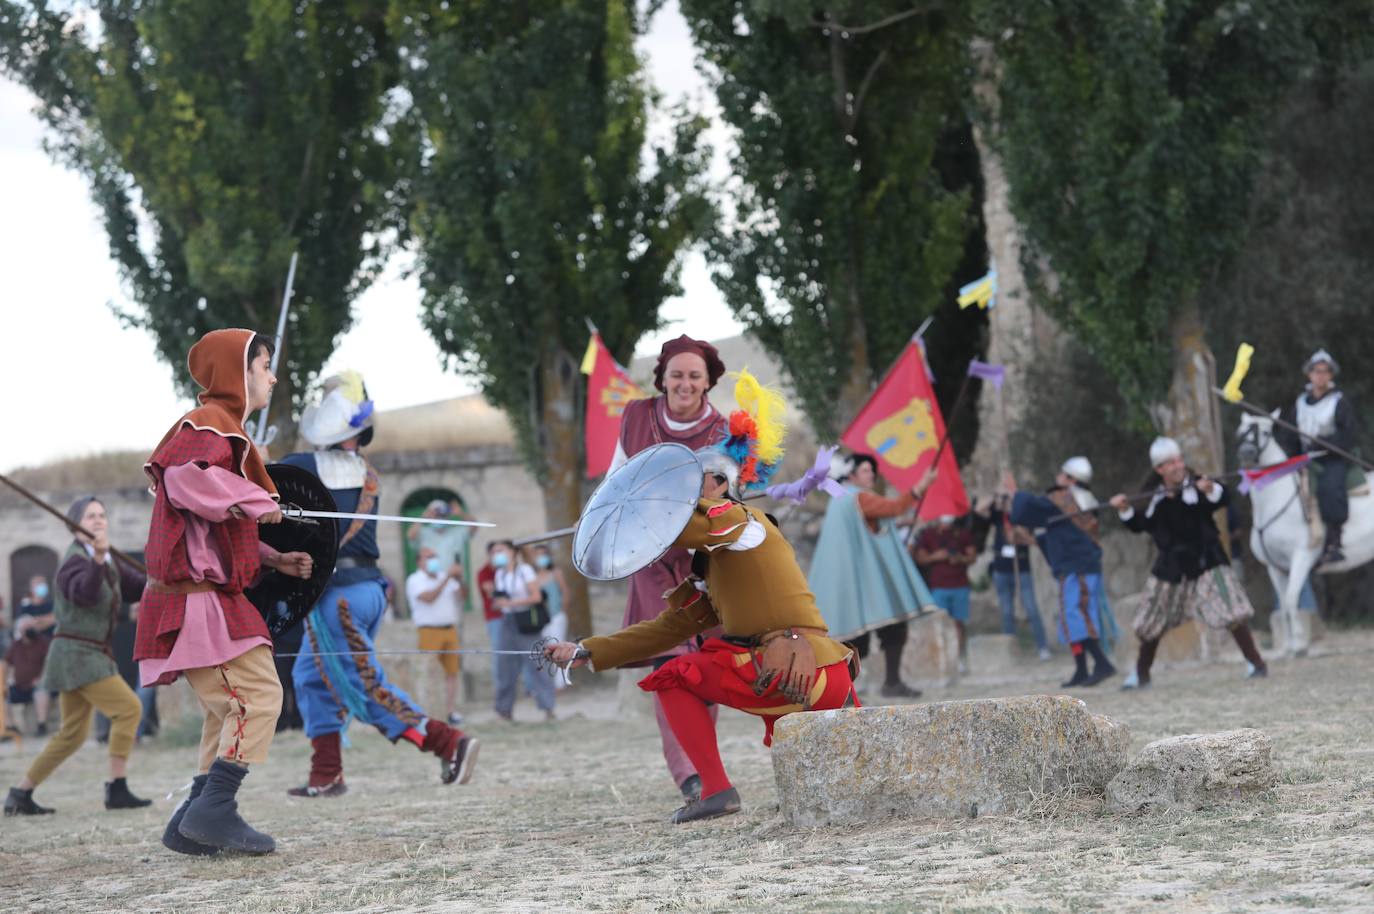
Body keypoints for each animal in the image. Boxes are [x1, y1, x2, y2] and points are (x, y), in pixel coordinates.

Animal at [1236, 409, 1374, 651]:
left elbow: (1292, 599)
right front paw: (1288, 647)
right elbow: (1283, 605)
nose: (1247, 452)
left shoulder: (1302, 557)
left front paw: (1300, 645)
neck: (1276, 497)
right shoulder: (1275, 567)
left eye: (1266, 431)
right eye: (1241, 431)